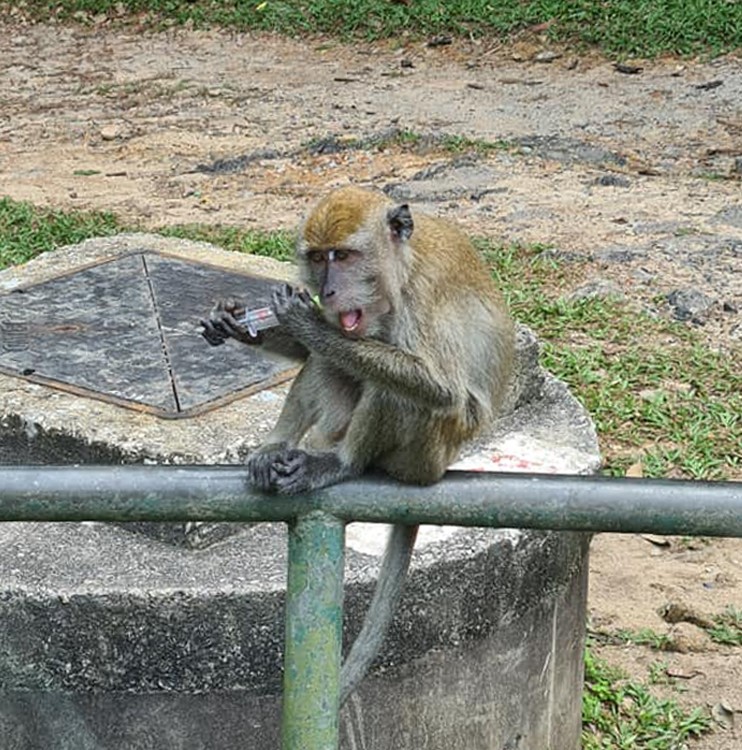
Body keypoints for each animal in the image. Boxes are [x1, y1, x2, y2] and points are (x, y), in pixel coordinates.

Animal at [206, 185, 516, 496]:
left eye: (343, 256)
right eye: (318, 258)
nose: (327, 292)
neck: (402, 268)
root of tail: (441, 466)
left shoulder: (424, 293)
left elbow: (443, 388)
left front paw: (308, 324)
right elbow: (309, 351)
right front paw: (235, 321)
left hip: (421, 460)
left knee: (398, 390)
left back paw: (343, 463)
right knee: (324, 360)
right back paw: (275, 447)